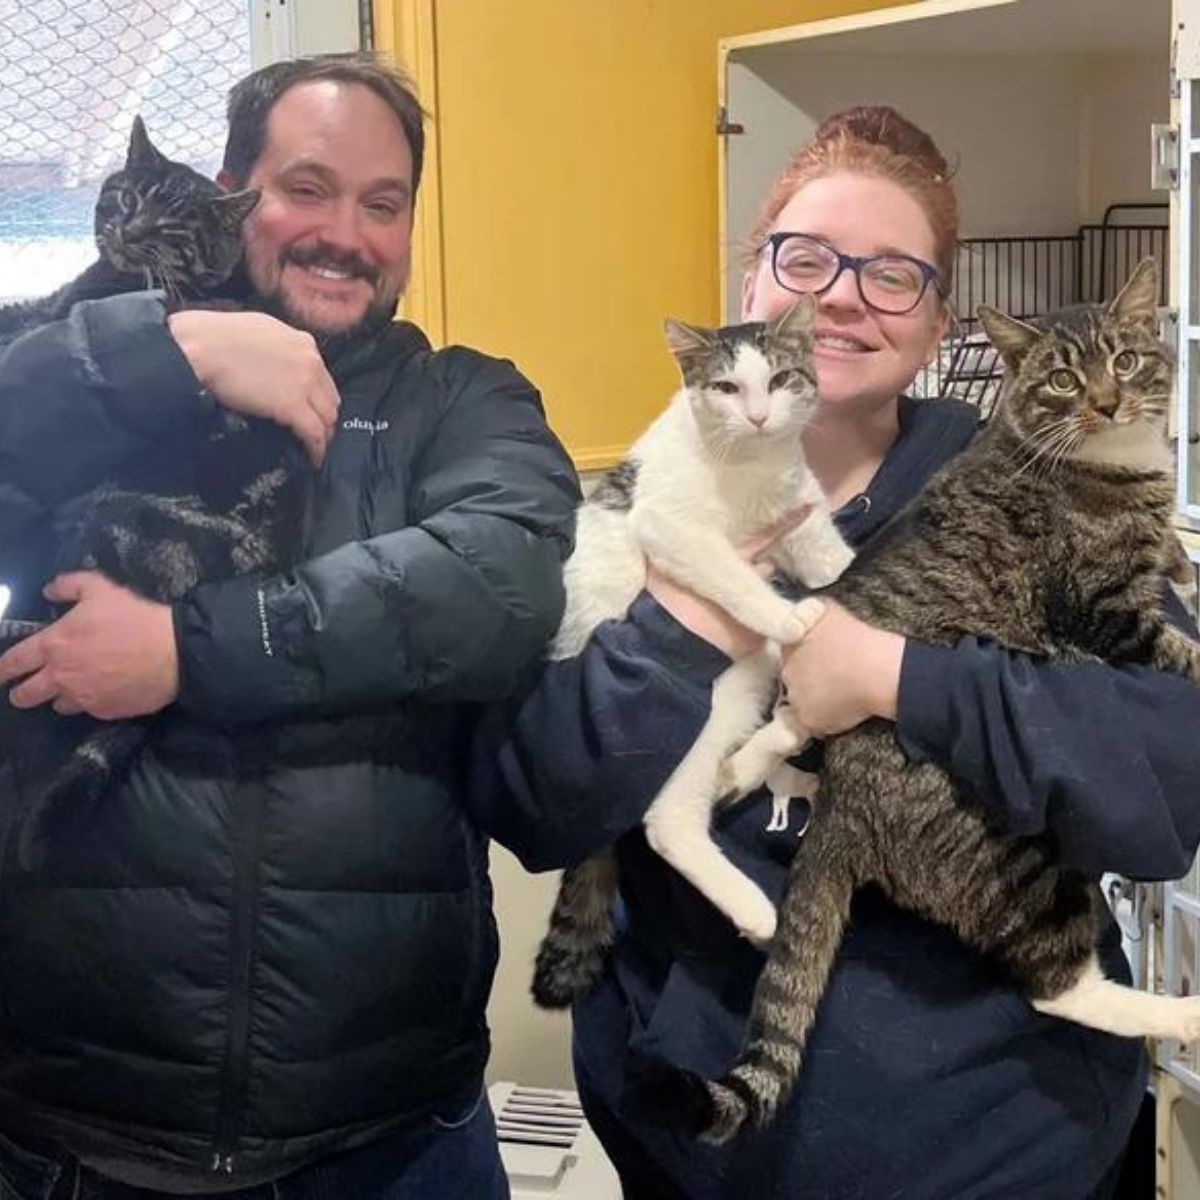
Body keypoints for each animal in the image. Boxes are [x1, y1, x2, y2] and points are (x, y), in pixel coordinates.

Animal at [2, 114, 309, 864]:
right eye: (128, 196)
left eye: (173, 228)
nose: (128, 228)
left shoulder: (54, 311)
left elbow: (24, 321)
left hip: (102, 516)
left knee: (46, 636)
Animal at [530, 297, 849, 1003]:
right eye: (726, 388)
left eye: (780, 379)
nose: (757, 416)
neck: (751, 469)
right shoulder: (670, 527)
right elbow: (732, 574)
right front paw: (788, 617)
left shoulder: (804, 519)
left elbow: (834, 557)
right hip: (696, 714)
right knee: (669, 821)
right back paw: (755, 910)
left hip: (746, 684)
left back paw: (762, 753)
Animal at [672, 255, 1200, 1142]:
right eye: (1063, 380)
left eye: (1126, 361)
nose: (1106, 402)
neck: (1114, 460)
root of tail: (843, 800)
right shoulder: (1101, 610)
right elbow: (1180, 649)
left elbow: (1175, 561)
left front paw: (1186, 560)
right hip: (1011, 850)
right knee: (1056, 990)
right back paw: (1181, 1015)